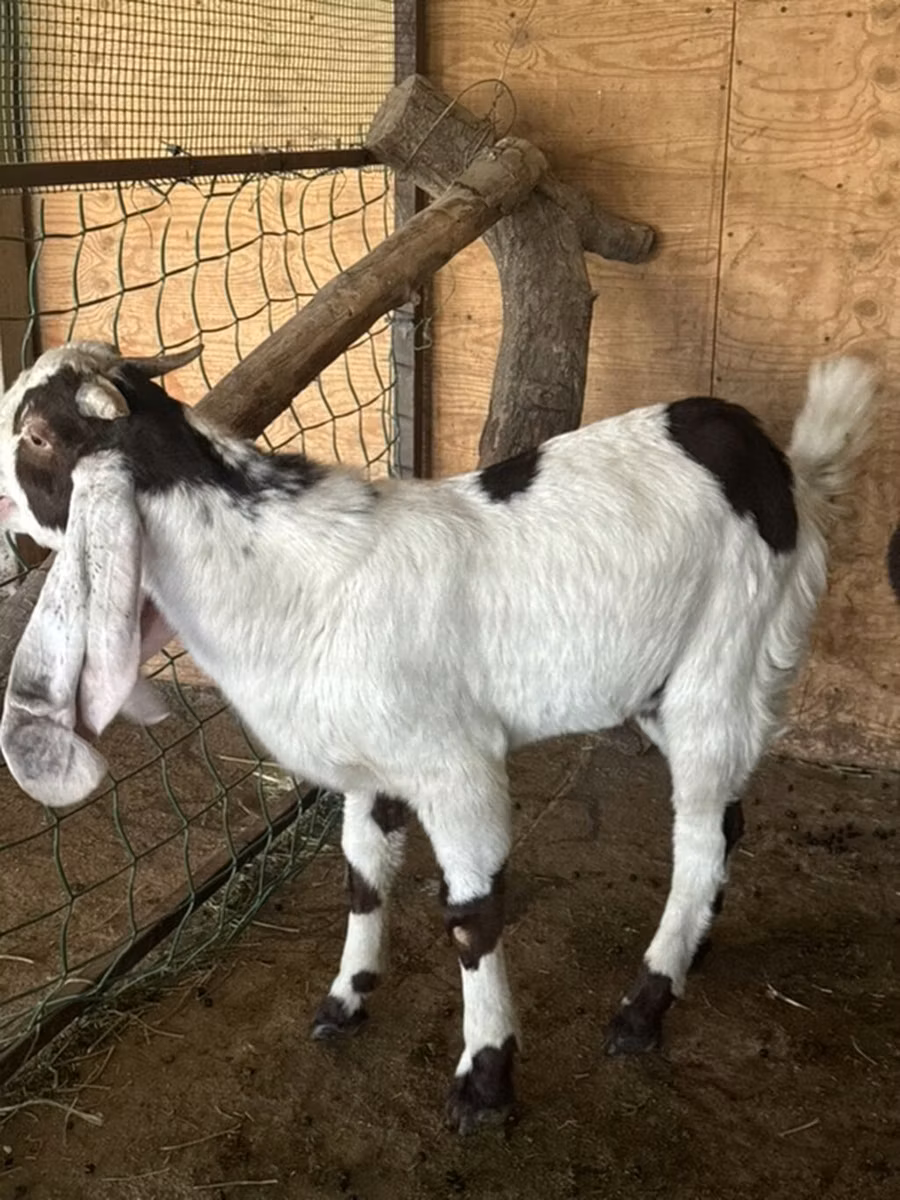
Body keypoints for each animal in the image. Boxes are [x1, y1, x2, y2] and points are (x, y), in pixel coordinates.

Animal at [0, 342, 874, 1133]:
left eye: (37, 436)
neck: (286, 571)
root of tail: (782, 464)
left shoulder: (456, 764)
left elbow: (471, 918)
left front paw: (486, 1079)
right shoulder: (372, 767)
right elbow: (362, 878)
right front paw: (346, 1000)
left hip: (725, 657)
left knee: (698, 833)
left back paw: (643, 1005)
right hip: (668, 682)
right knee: (725, 821)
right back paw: (691, 952)